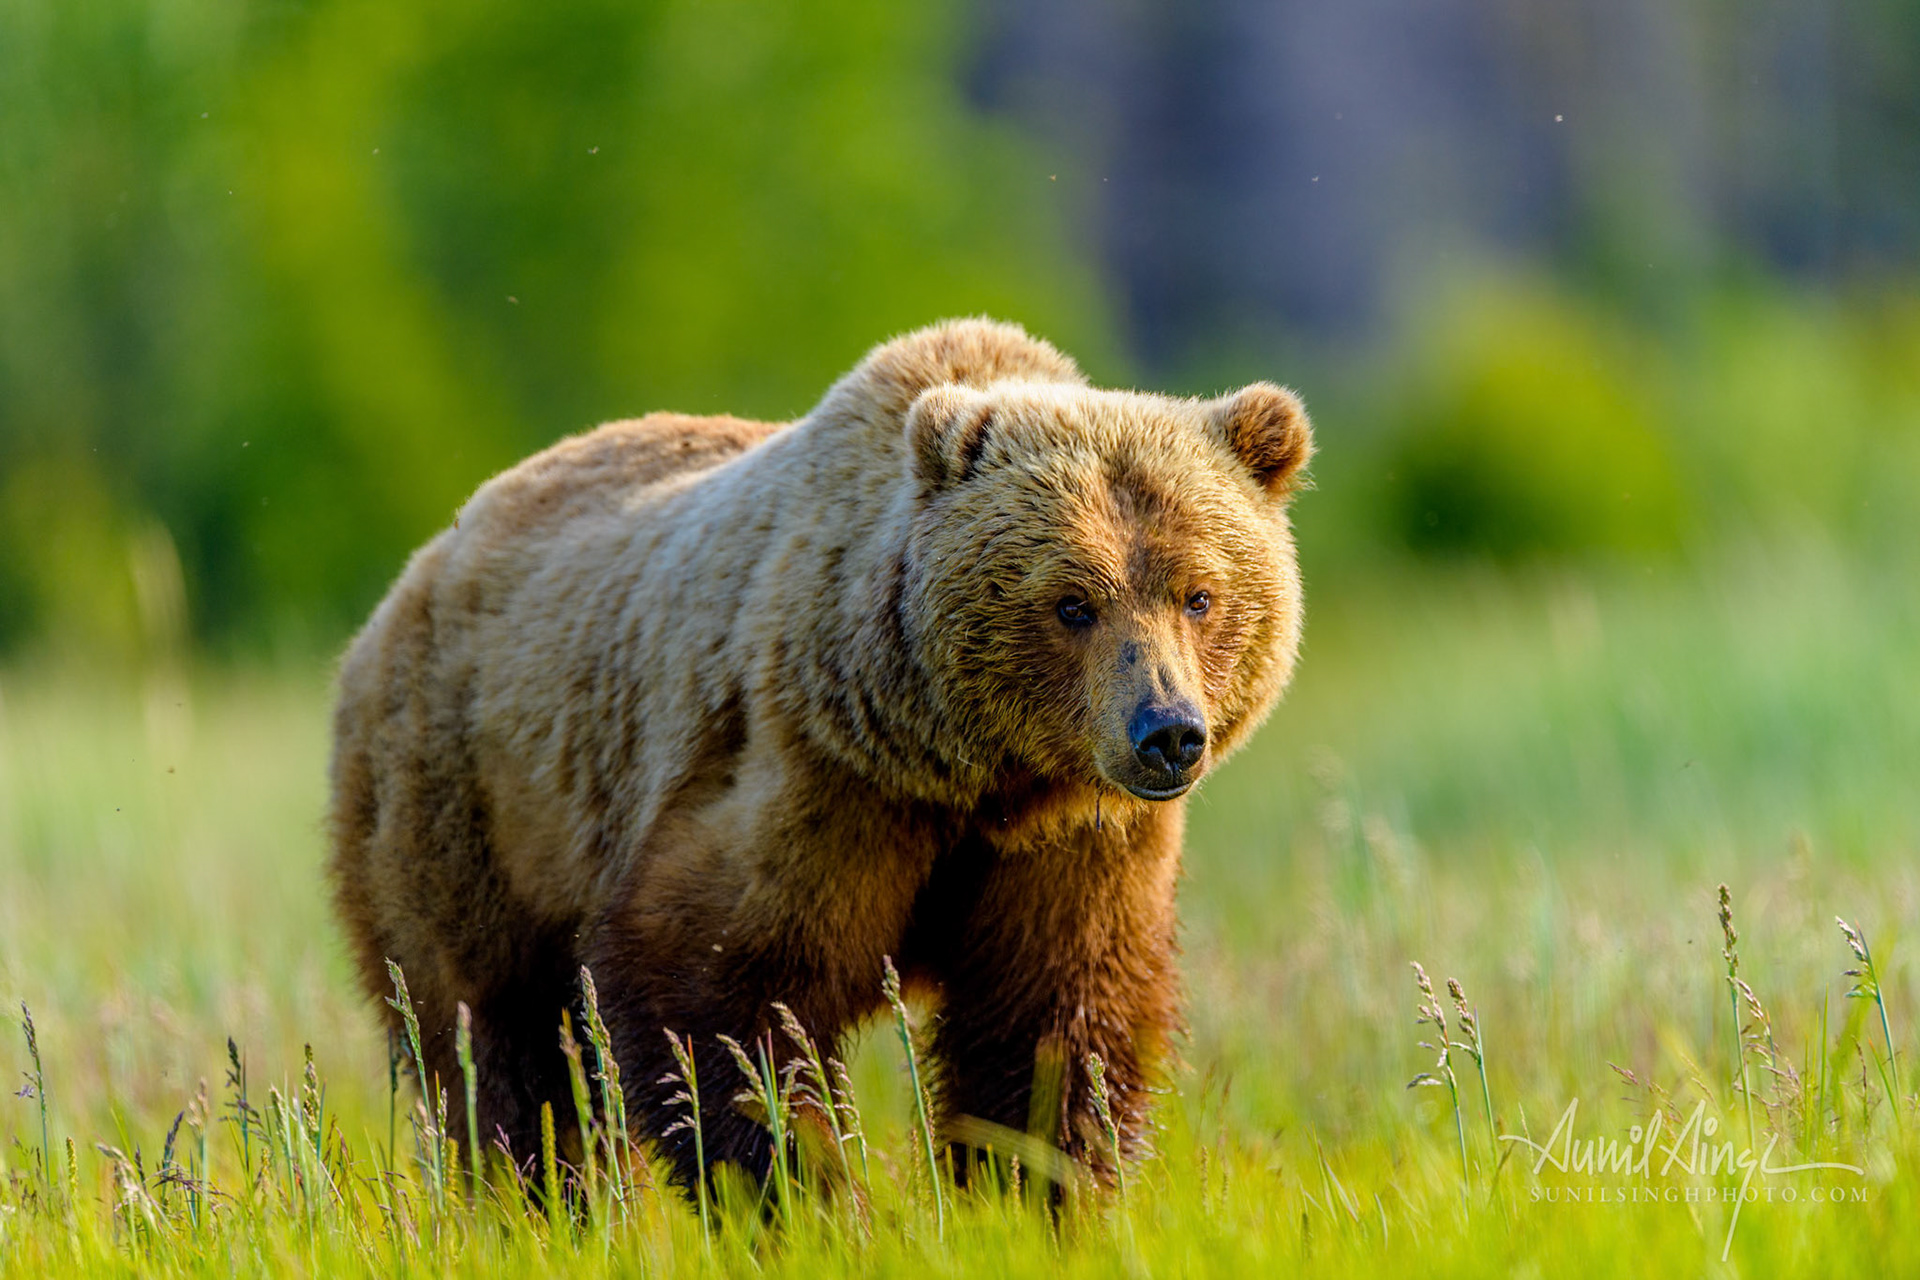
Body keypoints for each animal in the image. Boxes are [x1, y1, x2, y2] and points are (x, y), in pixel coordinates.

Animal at [326, 317, 1312, 1194]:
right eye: (1072, 601)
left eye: (1199, 593)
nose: (1166, 731)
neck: (976, 772)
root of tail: (407, 585)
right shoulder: (820, 778)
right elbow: (723, 1000)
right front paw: (803, 1190)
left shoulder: (1069, 848)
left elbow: (1055, 1028)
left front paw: (1035, 1189)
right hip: (468, 806)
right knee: (495, 1044)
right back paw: (538, 1199)